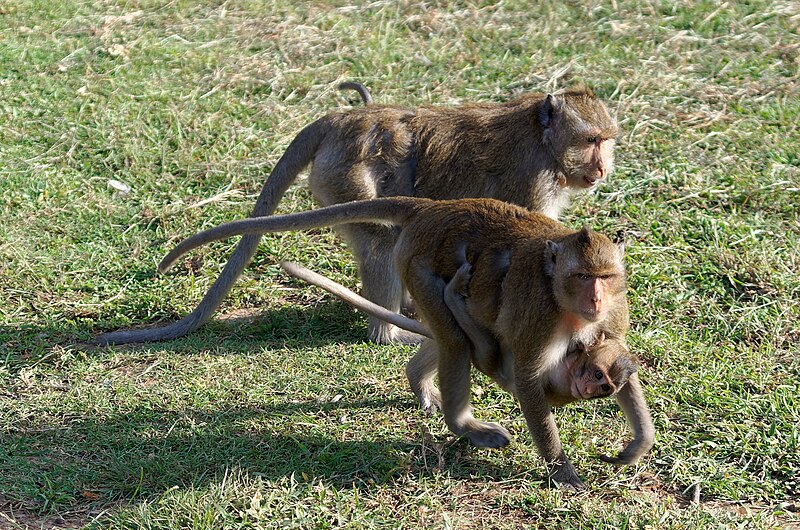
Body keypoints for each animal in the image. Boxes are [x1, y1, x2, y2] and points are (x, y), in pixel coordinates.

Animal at [95, 84, 620, 344]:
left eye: (606, 141)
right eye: (591, 141)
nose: (602, 168)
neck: (542, 139)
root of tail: (339, 119)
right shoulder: (533, 183)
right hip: (344, 179)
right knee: (382, 243)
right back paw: (390, 333)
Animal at [148, 197, 648, 486]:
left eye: (605, 277)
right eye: (581, 276)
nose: (595, 297)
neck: (566, 306)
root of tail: (433, 208)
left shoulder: (614, 312)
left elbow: (622, 366)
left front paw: (637, 445)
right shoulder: (539, 316)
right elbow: (526, 377)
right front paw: (562, 470)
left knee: (450, 338)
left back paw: (419, 380)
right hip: (417, 261)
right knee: (454, 341)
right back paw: (463, 424)